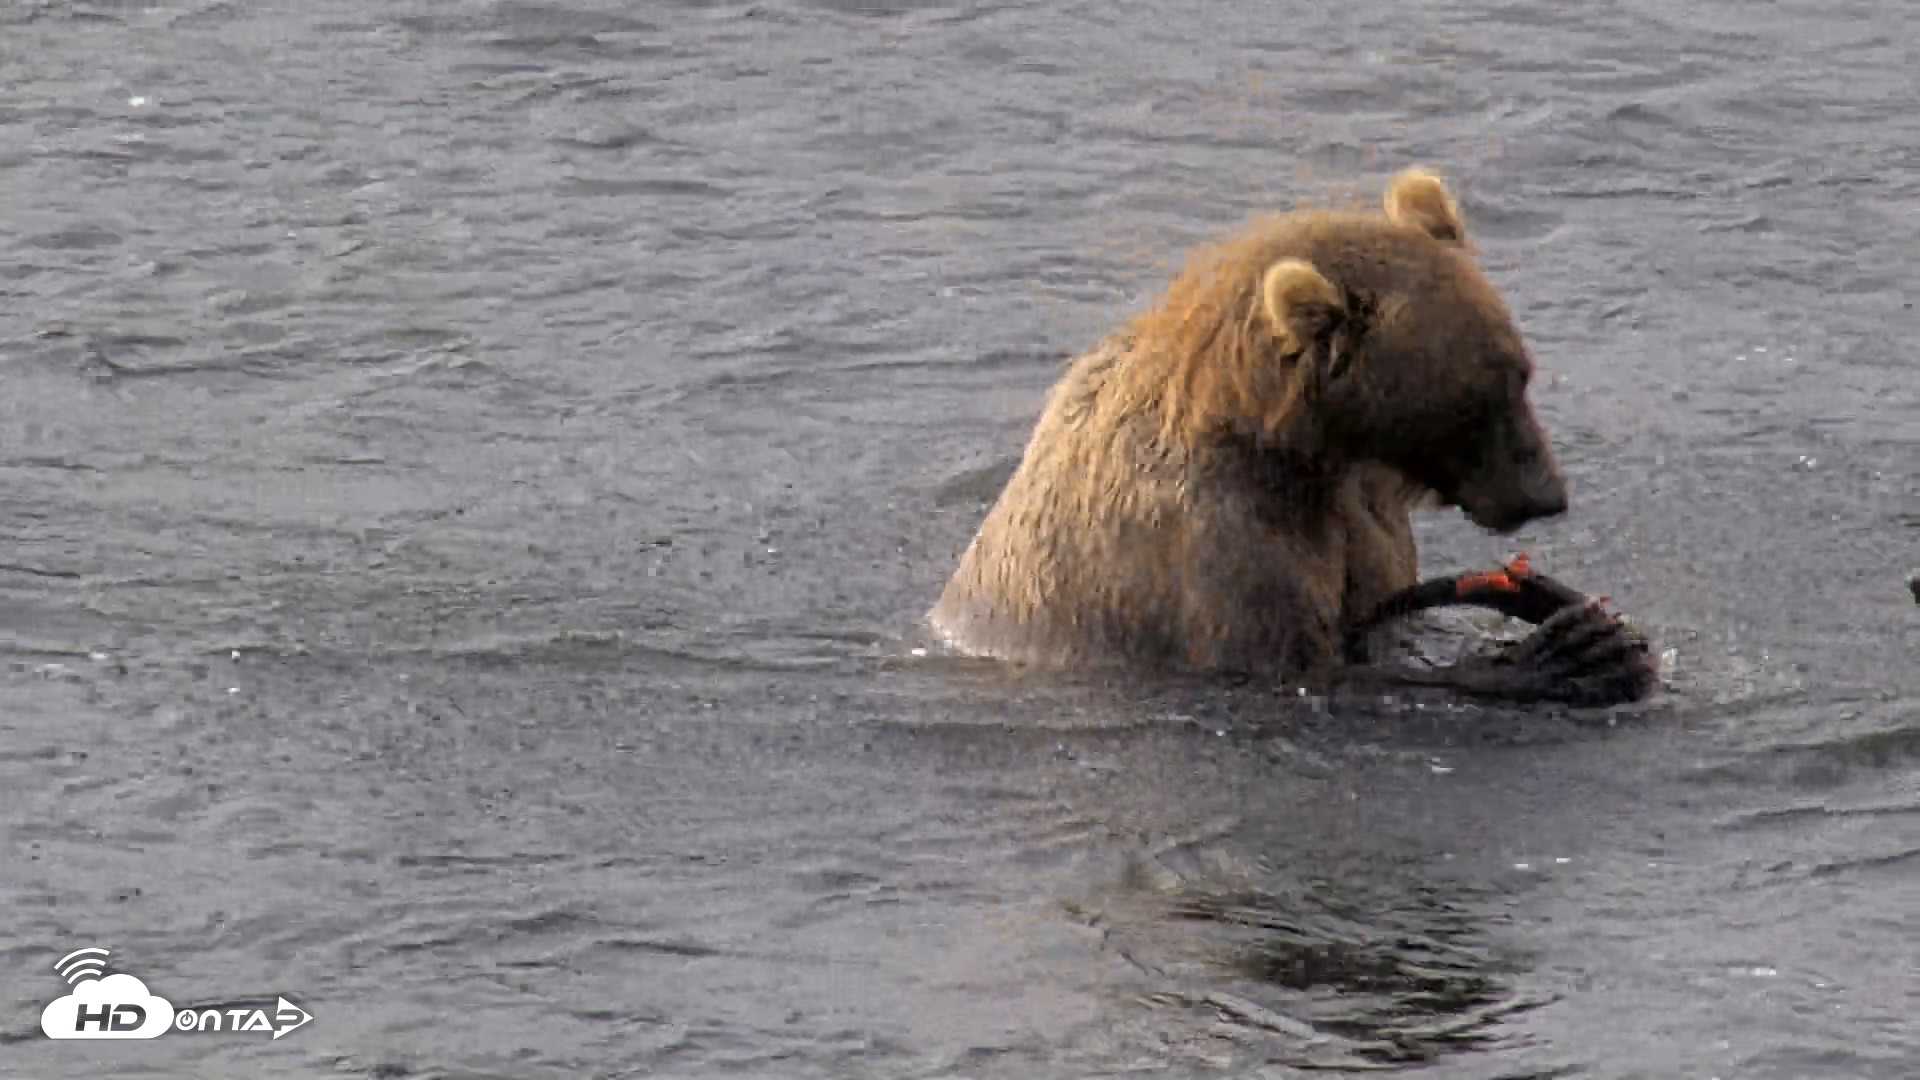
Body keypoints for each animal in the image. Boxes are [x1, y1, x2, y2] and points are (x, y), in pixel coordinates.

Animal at [928, 168, 1655, 706]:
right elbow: (1299, 670)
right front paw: (1571, 654)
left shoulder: (1360, 505)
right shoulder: (1213, 544)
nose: (1546, 495)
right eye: (1474, 400)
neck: (1292, 448)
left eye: (1521, 374)